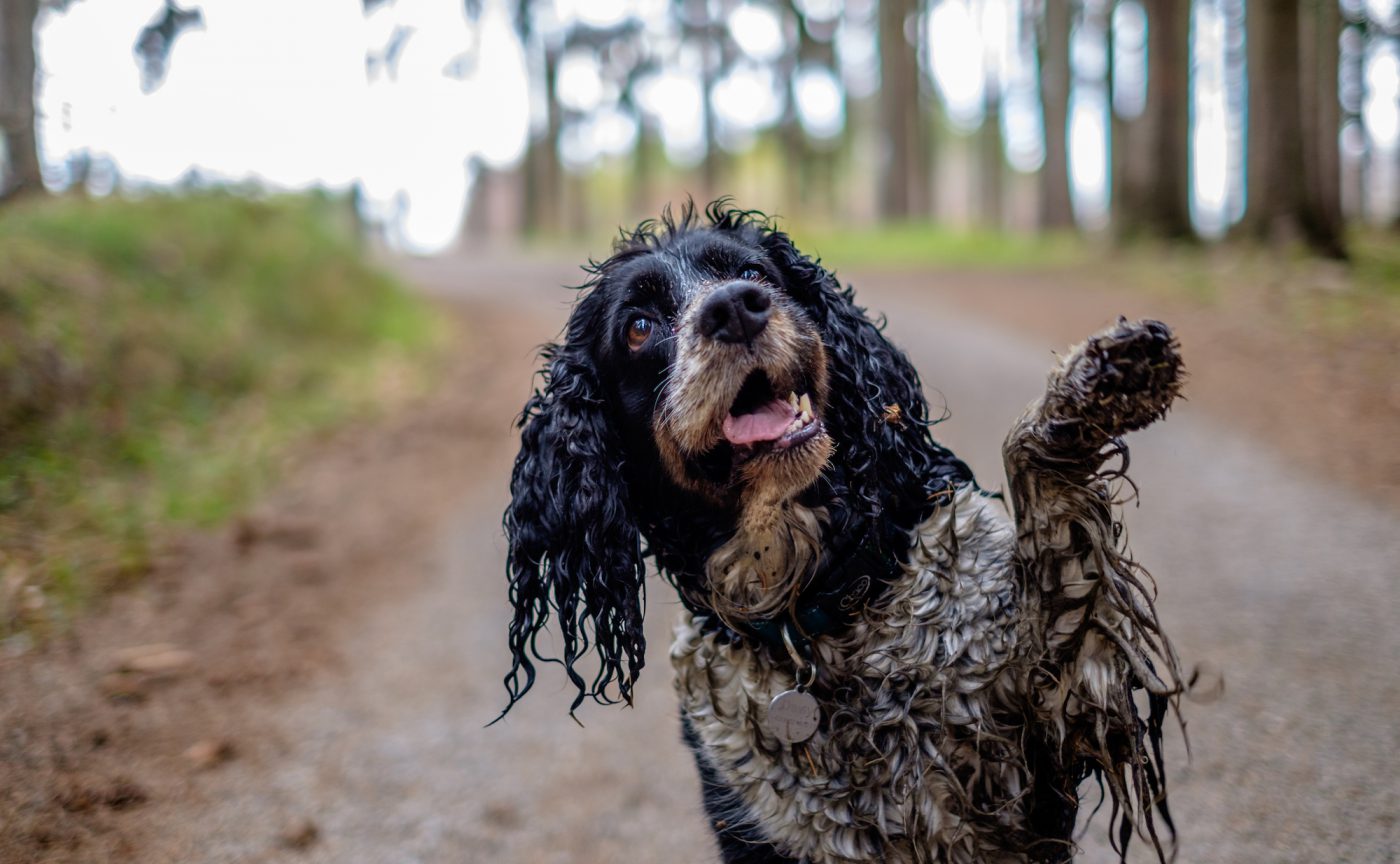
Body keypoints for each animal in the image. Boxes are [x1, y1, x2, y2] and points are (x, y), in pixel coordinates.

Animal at [498, 204, 1187, 862]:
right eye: (638, 327)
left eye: (753, 273)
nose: (735, 309)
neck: (821, 613)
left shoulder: (1063, 712)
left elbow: (1038, 491)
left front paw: (1102, 379)